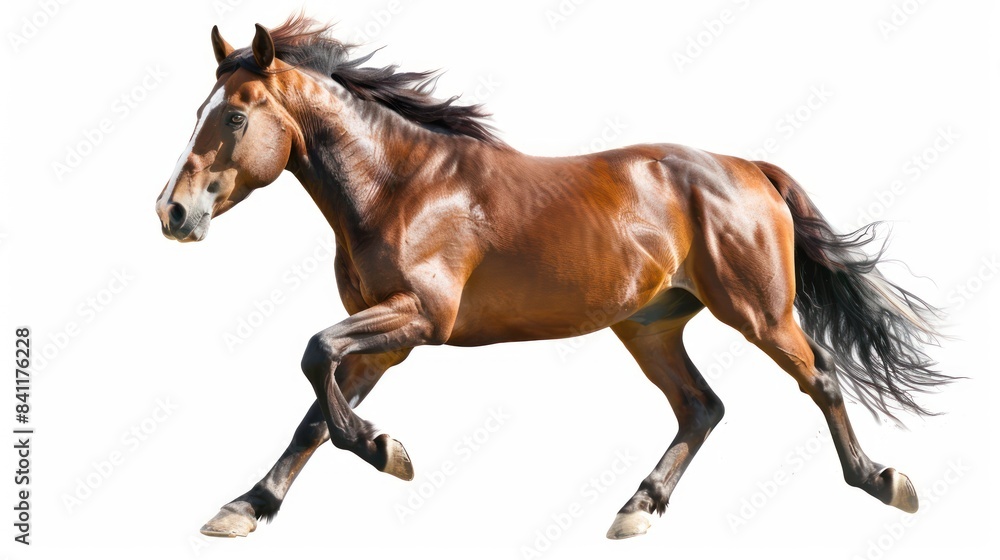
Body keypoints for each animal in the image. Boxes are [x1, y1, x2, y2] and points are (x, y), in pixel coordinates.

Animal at [154, 16, 950, 540]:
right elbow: (317, 412)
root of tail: (750, 168)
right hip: (650, 326)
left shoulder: (418, 319)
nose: (173, 212)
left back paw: (885, 482)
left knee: (820, 380)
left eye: (233, 116)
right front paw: (247, 507)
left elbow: (315, 356)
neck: (400, 186)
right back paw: (637, 509)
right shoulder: (387, 339)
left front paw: (388, 453)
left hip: (760, 313)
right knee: (702, 407)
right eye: (198, 110)